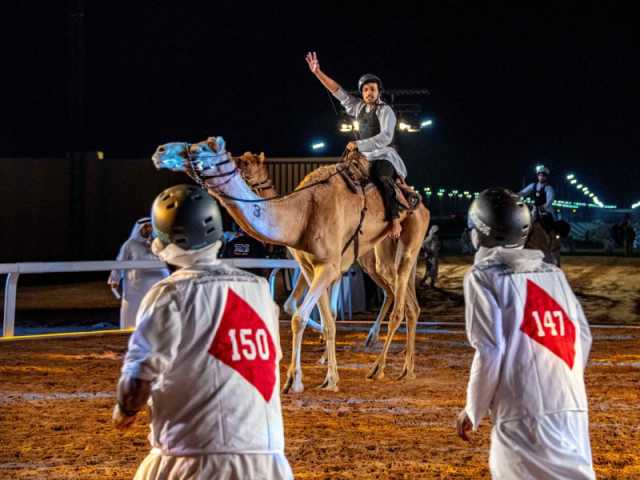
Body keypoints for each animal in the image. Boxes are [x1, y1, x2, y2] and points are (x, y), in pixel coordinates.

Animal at [152, 137, 430, 392]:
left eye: (202, 147)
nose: (160, 150)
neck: (302, 213)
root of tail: (419, 201)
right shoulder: (309, 267)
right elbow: (326, 319)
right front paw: (331, 377)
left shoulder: (329, 267)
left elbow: (300, 316)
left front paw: (293, 380)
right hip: (381, 253)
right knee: (407, 303)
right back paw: (407, 368)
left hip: (408, 242)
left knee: (399, 304)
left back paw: (380, 367)